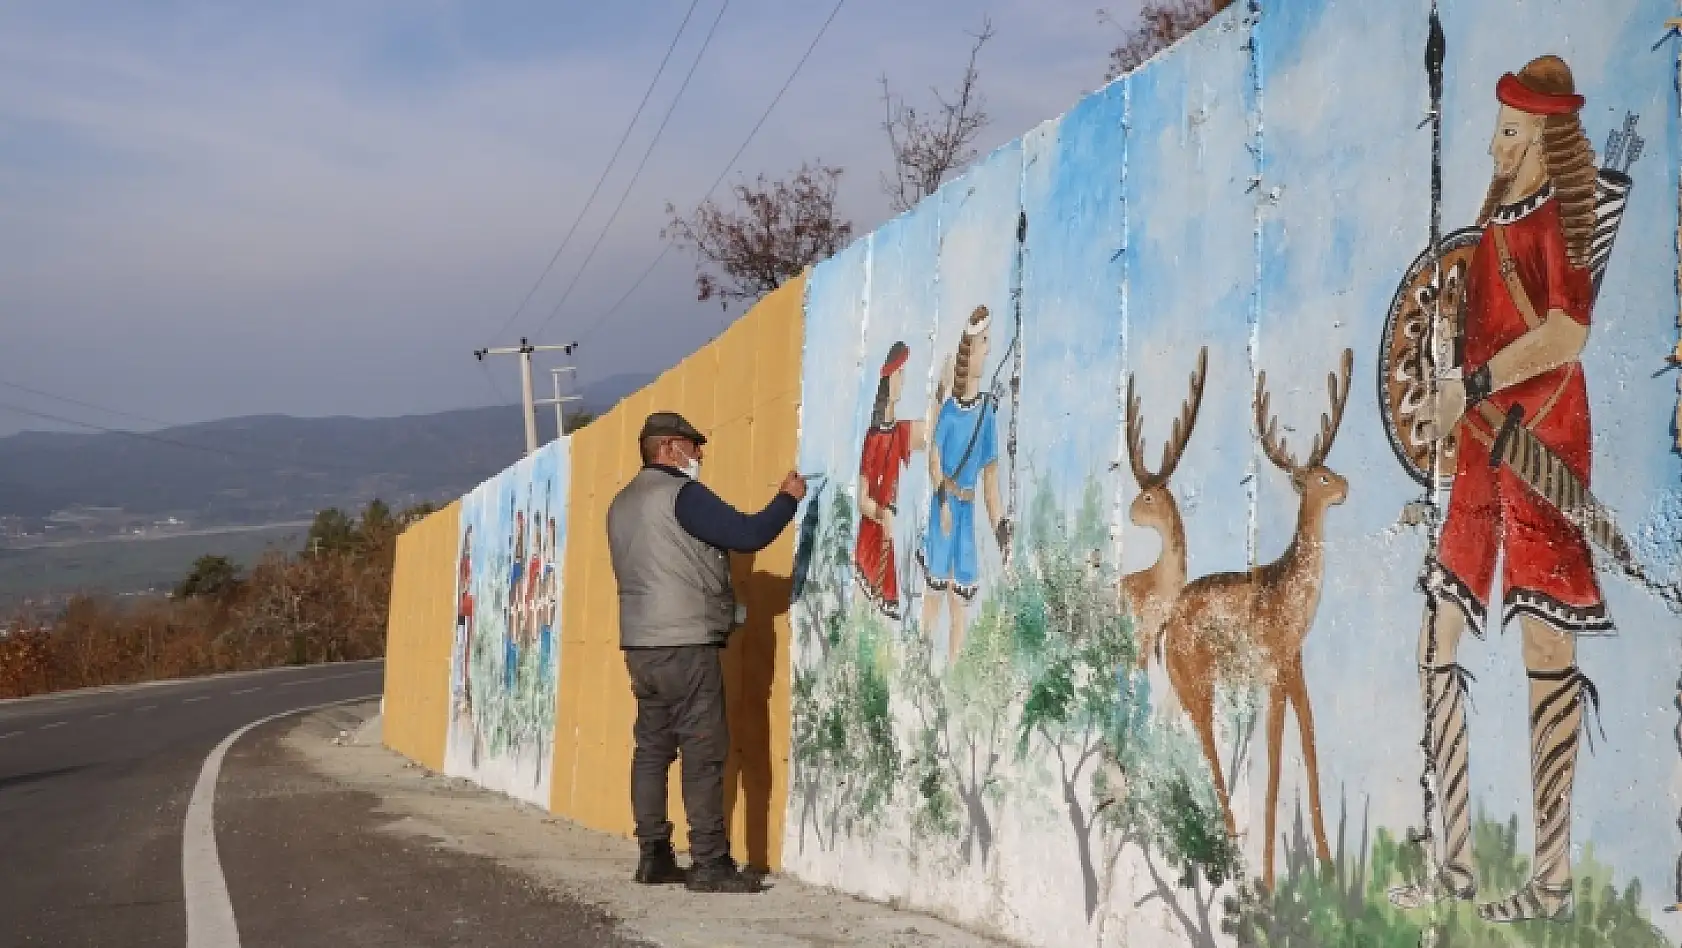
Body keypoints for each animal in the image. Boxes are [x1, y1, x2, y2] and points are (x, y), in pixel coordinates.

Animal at [1163, 347, 1345, 887]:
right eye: (1321, 477)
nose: (1346, 486)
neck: (1290, 595)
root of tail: (1166, 624)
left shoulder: (1296, 667)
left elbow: (1309, 745)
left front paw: (1329, 865)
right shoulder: (1274, 671)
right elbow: (1275, 764)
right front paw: (1270, 875)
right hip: (1197, 684)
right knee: (1209, 751)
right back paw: (1232, 853)